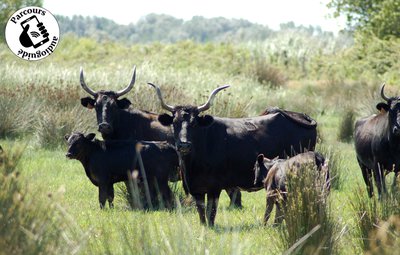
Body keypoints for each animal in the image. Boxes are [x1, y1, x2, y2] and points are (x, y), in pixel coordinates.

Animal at [148, 83, 318, 225]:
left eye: (194, 123)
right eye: (174, 123)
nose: (184, 144)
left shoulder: (214, 187)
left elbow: (211, 212)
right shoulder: (196, 189)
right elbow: (201, 213)